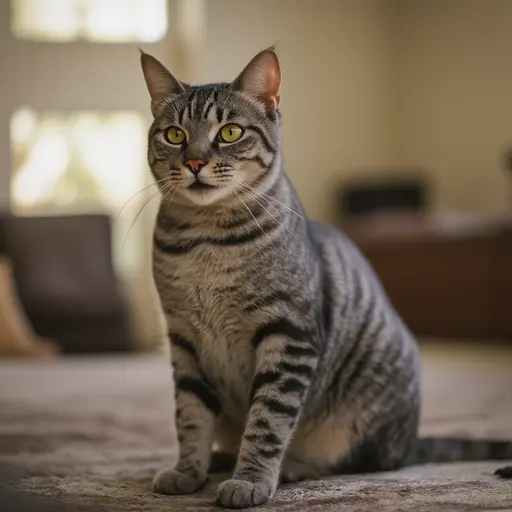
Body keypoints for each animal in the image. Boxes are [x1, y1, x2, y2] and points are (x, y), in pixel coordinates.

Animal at [140, 49, 512, 508]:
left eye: (229, 132)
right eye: (175, 135)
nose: (194, 162)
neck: (206, 241)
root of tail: (410, 442)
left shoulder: (288, 335)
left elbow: (267, 422)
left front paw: (251, 479)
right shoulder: (184, 339)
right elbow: (190, 416)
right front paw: (188, 470)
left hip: (356, 423)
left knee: (352, 462)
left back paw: (289, 468)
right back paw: (220, 458)